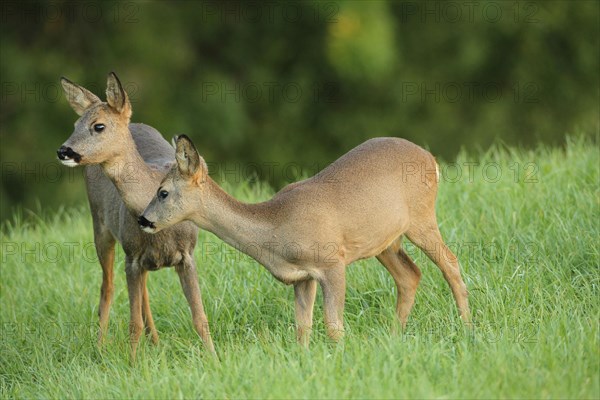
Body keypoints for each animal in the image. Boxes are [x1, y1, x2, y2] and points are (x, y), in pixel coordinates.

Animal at [56, 72, 216, 360]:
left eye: (98, 126)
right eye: (75, 124)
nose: (63, 151)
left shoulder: (187, 255)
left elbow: (200, 317)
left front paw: (214, 359)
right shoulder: (131, 257)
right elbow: (134, 323)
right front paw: (132, 364)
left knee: (144, 292)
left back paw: (155, 342)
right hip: (100, 226)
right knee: (107, 287)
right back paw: (100, 348)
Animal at [138, 135, 472, 346]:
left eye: (163, 192)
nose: (143, 219)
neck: (276, 227)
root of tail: (430, 158)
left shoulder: (332, 261)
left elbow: (334, 326)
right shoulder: (303, 277)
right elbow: (303, 328)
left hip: (421, 217)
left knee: (451, 263)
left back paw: (466, 327)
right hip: (386, 242)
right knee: (409, 275)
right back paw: (394, 338)